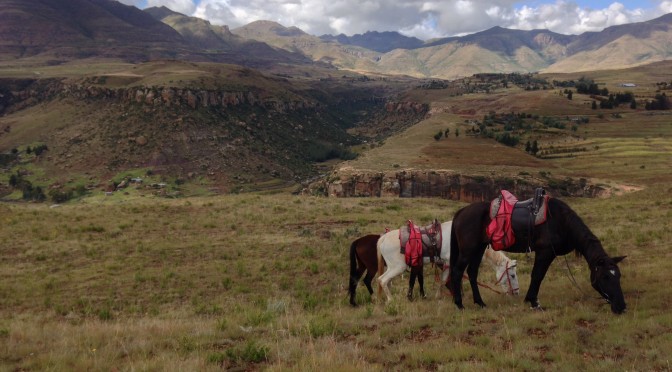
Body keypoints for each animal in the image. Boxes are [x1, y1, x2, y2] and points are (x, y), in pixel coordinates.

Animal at [376, 221, 524, 302]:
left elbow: (445, 280)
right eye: (512, 275)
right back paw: (391, 300)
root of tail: (383, 238)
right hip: (397, 267)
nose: (516, 293)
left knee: (385, 281)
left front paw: (441, 296)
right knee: (382, 280)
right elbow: (448, 280)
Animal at [448, 198, 628, 314]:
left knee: (472, 273)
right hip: (468, 251)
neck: (562, 221)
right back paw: (459, 304)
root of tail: (461, 212)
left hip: (478, 249)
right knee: (457, 272)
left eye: (618, 275)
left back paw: (480, 302)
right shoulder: (545, 252)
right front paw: (534, 302)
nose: (621, 307)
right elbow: (537, 276)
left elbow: (537, 276)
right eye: (605, 277)